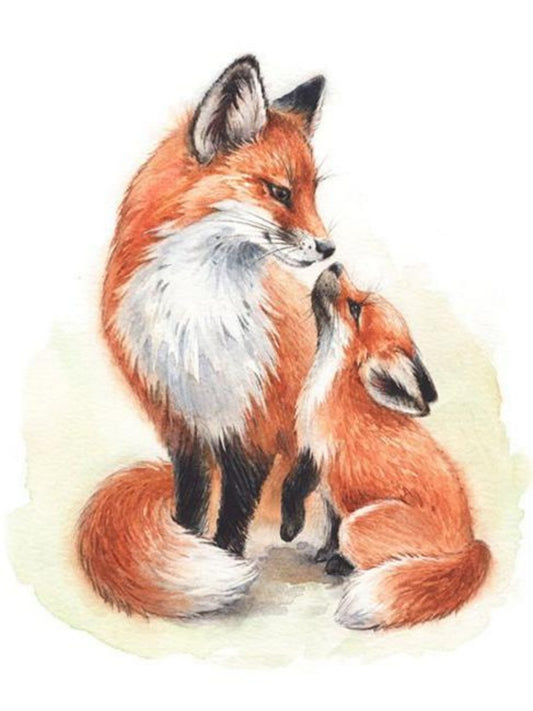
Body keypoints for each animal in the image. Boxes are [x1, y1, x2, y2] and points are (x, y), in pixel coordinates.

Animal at [77, 56, 336, 618]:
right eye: (279, 192)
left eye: (313, 193)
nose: (328, 248)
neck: (197, 319)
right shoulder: (182, 425)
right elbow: (193, 506)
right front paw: (190, 552)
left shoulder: (252, 427)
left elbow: (233, 515)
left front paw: (225, 566)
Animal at [280, 262, 491, 629]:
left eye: (355, 308)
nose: (336, 265)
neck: (332, 386)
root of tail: (470, 544)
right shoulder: (326, 483)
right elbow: (329, 526)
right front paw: (323, 551)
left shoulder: (317, 456)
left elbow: (291, 489)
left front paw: (291, 530)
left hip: (360, 526)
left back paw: (348, 567)